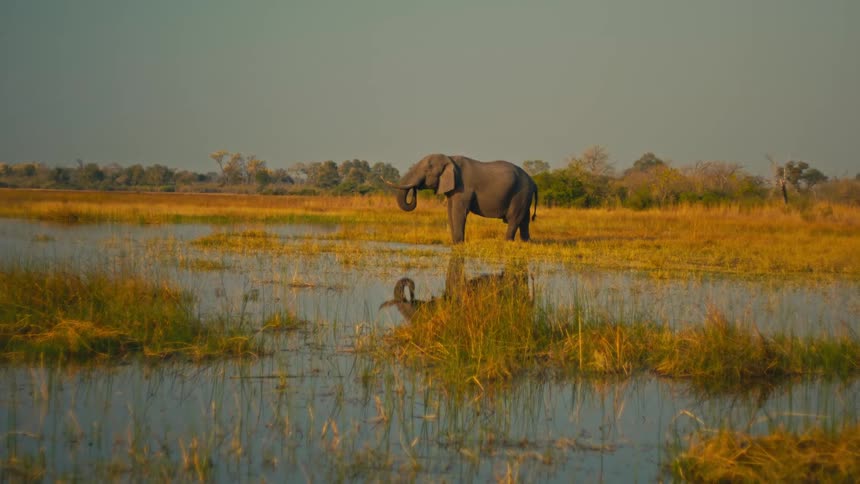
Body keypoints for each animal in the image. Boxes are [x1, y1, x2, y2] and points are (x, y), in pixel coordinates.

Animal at [385, 154, 538, 243]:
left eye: (427, 169)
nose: (415, 190)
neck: (450, 158)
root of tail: (533, 181)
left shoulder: (464, 187)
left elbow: (458, 212)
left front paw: (459, 244)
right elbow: (450, 211)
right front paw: (455, 244)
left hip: (520, 193)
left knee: (513, 218)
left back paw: (507, 242)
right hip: (524, 196)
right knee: (524, 220)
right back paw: (526, 243)